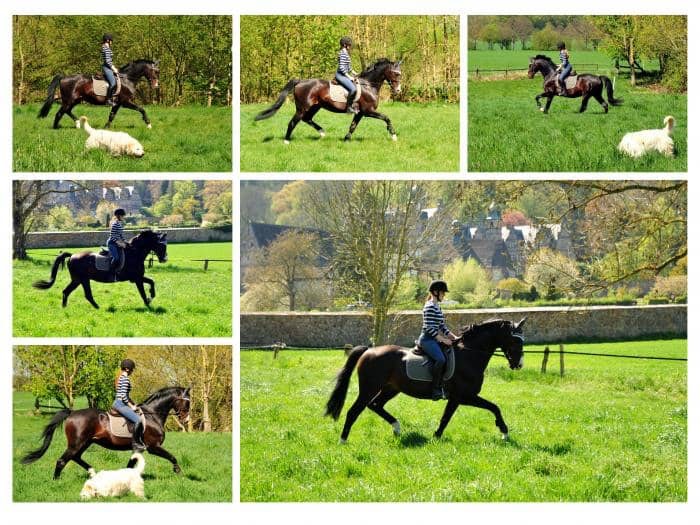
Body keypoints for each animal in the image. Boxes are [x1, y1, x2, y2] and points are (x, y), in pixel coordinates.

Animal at [22, 382, 191, 476]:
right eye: (187, 402)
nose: (187, 420)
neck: (152, 415)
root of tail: (72, 413)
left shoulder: (138, 449)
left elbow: (130, 464)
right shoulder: (153, 447)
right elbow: (172, 457)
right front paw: (178, 472)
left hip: (85, 443)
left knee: (75, 457)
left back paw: (92, 472)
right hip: (77, 443)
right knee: (62, 461)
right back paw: (56, 481)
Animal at [32, 228, 170, 310]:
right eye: (162, 245)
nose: (164, 259)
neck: (134, 253)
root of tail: (72, 255)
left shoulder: (138, 277)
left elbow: (152, 282)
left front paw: (151, 296)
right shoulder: (137, 278)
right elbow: (143, 292)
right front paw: (148, 303)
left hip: (78, 280)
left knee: (67, 291)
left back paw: (65, 307)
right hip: (82, 279)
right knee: (86, 294)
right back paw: (97, 307)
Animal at [254, 58, 402, 143]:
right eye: (396, 73)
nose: (398, 90)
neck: (369, 85)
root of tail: (300, 81)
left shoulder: (360, 113)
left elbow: (353, 126)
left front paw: (346, 140)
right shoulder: (368, 111)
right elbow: (386, 118)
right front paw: (394, 136)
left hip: (315, 107)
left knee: (307, 119)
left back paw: (322, 133)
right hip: (302, 107)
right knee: (293, 122)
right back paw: (286, 141)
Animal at [326, 318, 524, 444]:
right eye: (515, 341)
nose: (519, 364)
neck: (469, 354)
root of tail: (369, 351)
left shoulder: (458, 398)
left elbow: (447, 417)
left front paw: (435, 437)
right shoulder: (464, 396)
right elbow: (493, 408)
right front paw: (504, 432)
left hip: (391, 389)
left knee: (375, 405)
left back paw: (397, 428)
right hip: (369, 388)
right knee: (354, 411)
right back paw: (343, 440)